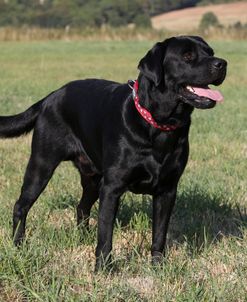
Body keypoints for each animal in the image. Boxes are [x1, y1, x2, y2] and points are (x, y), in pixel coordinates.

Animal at [0, 35, 228, 268]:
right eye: (187, 56)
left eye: (210, 52)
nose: (222, 63)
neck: (158, 125)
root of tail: (51, 96)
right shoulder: (112, 188)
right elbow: (105, 234)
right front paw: (103, 269)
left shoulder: (167, 190)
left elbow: (159, 234)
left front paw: (157, 266)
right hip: (42, 164)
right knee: (21, 206)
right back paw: (18, 244)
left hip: (93, 179)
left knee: (81, 207)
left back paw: (82, 237)